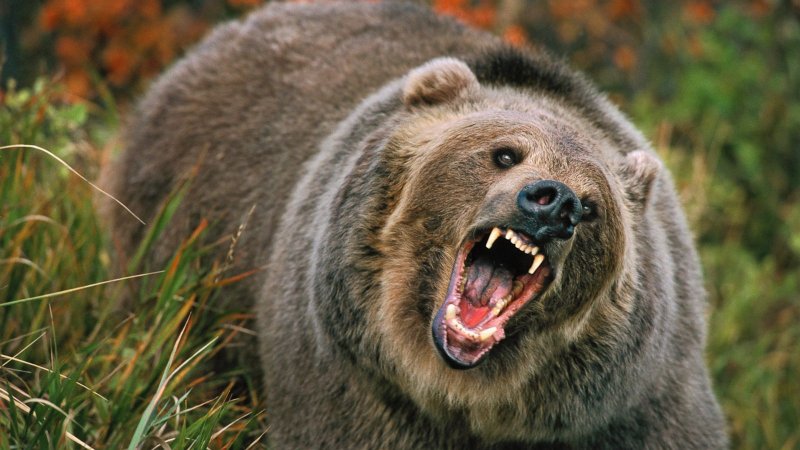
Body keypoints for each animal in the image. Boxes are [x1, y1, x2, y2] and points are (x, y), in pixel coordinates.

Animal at [101, 1, 727, 448]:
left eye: (594, 206)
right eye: (505, 153)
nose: (555, 203)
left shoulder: (634, 405)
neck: (465, 397)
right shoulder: (350, 381)